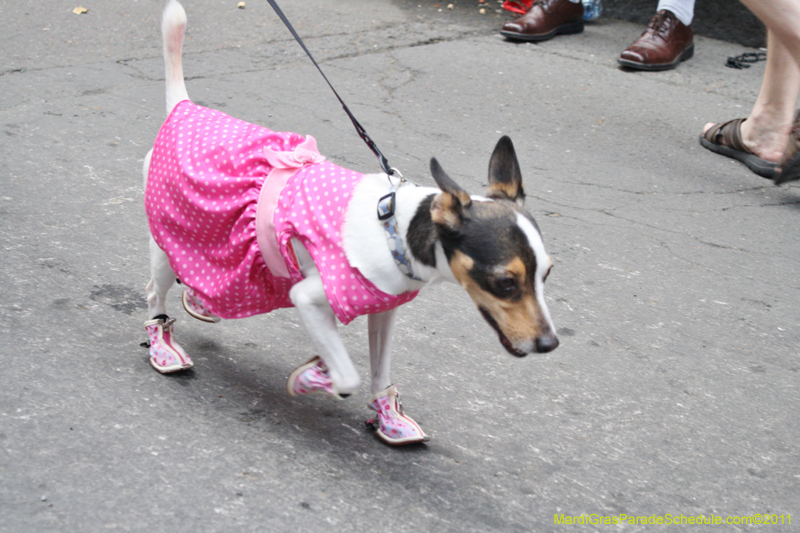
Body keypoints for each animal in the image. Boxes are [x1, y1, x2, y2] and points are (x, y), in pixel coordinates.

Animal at [142, 1, 556, 444]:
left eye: (546, 273)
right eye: (505, 283)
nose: (550, 343)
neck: (395, 232)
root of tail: (183, 109)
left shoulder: (385, 310)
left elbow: (378, 373)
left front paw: (386, 415)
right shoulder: (308, 298)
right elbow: (348, 378)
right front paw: (314, 377)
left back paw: (199, 299)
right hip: (165, 242)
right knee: (156, 292)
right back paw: (162, 344)